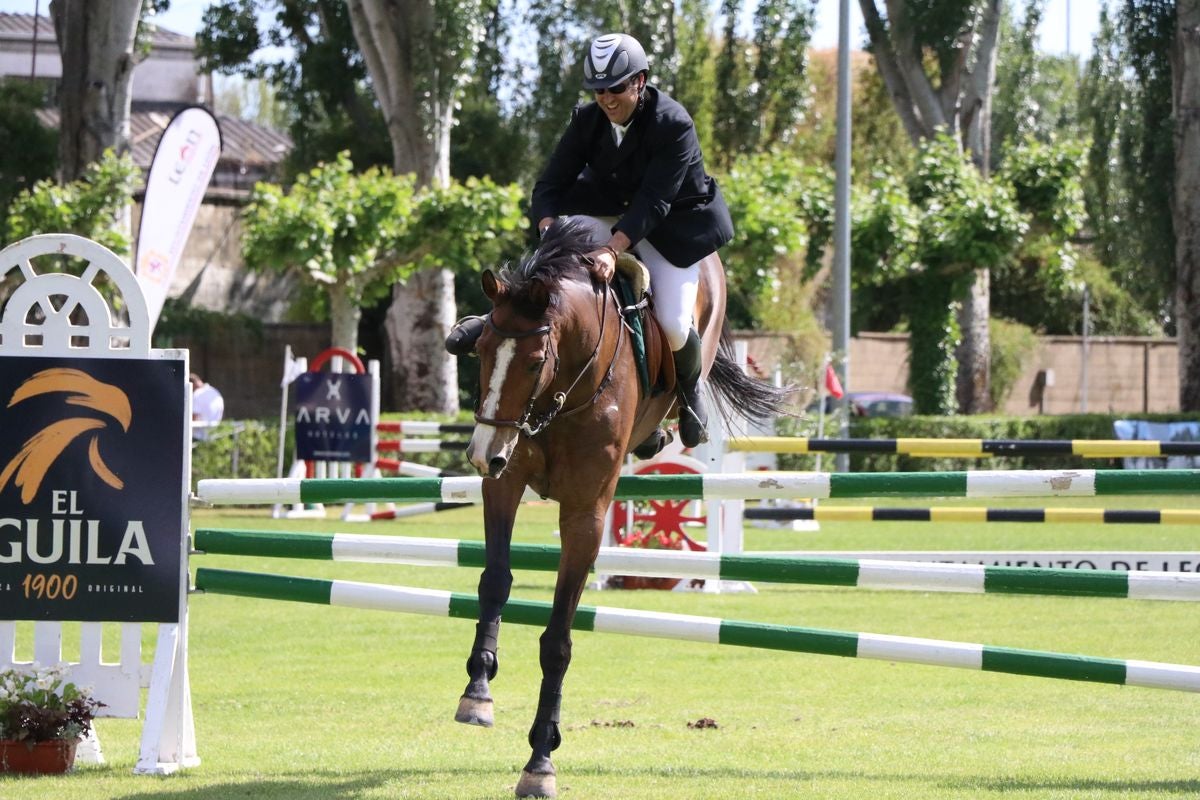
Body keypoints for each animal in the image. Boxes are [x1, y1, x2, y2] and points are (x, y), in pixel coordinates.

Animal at [458, 215, 787, 796]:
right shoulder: (505, 484)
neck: (563, 389)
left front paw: (540, 759)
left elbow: (558, 640)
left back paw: (683, 423)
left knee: (687, 361)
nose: (482, 453)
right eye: (483, 350)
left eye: (536, 360)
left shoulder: (585, 514)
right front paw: (478, 690)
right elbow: (494, 581)